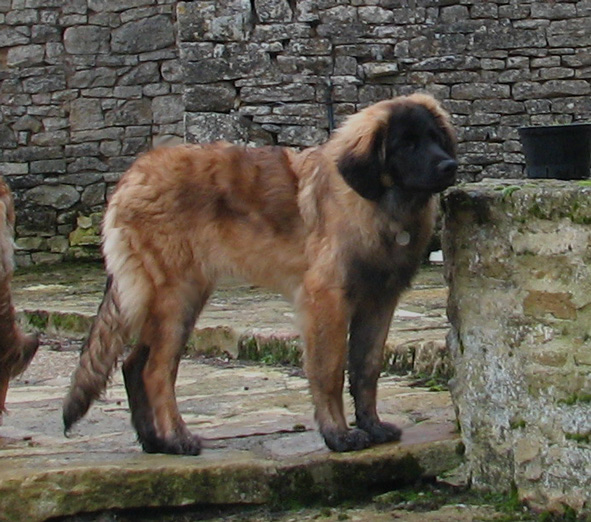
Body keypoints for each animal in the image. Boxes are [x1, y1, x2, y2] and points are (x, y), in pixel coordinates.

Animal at [65, 92, 460, 450]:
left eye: (435, 138)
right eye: (406, 144)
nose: (449, 166)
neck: (384, 205)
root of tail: (133, 174)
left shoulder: (379, 301)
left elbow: (367, 368)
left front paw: (373, 427)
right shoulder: (327, 300)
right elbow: (330, 370)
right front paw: (339, 435)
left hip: (176, 299)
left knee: (134, 365)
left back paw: (154, 441)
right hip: (176, 296)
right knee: (155, 372)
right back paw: (177, 439)